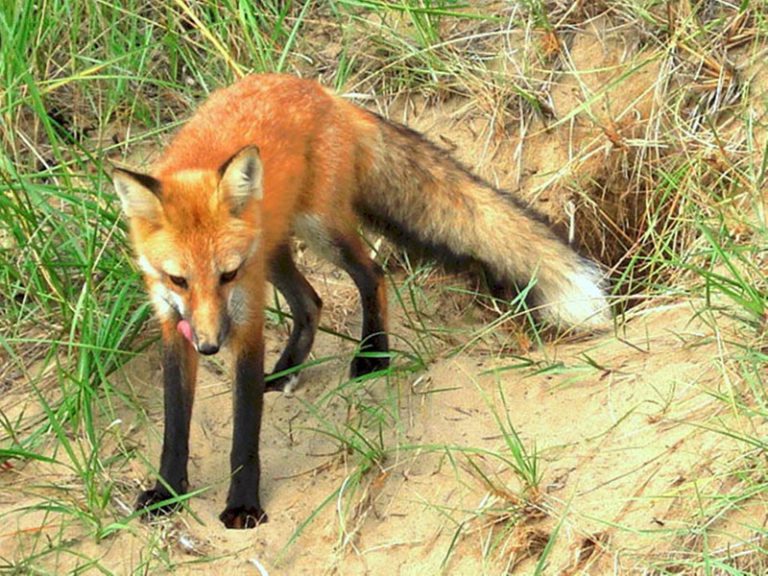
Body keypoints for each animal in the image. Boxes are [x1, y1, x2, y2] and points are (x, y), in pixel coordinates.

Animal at [113, 73, 610, 529]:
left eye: (227, 275)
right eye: (178, 279)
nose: (211, 347)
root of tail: (321, 91)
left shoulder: (246, 313)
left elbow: (245, 432)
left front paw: (243, 505)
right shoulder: (173, 321)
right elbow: (175, 424)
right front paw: (166, 492)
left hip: (319, 230)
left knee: (372, 275)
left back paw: (373, 354)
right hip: (277, 247)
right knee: (311, 301)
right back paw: (288, 370)